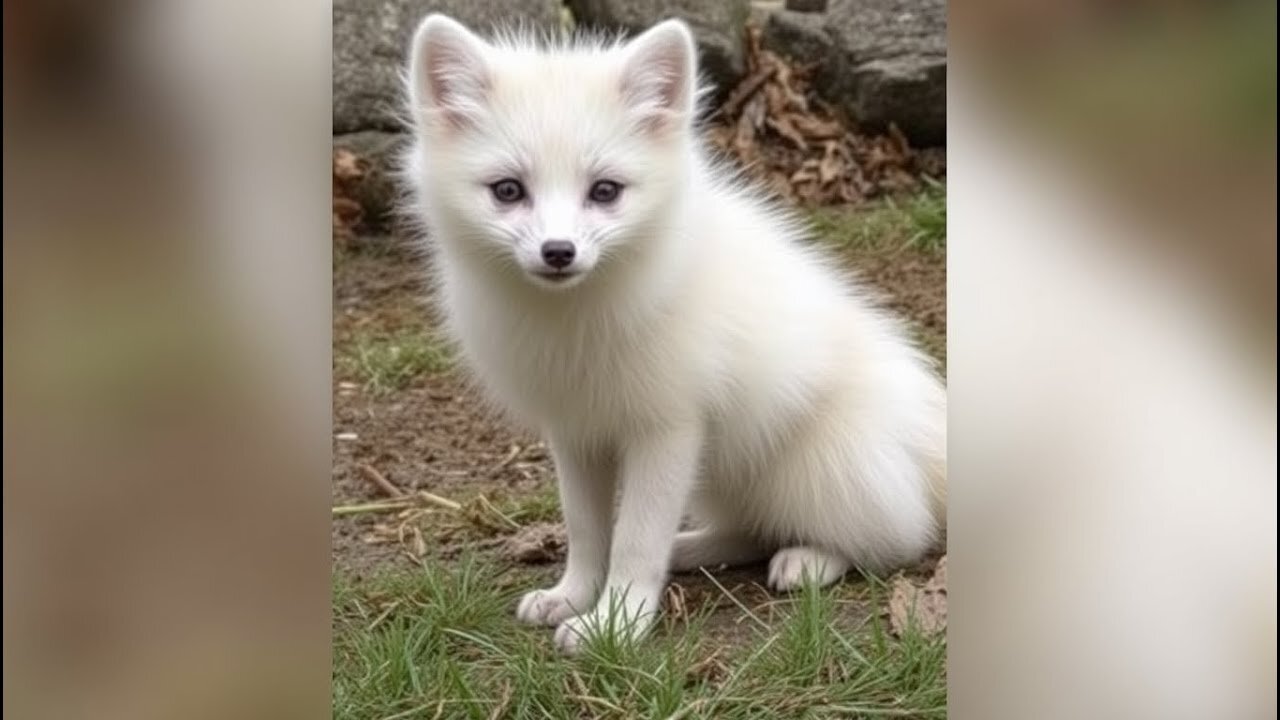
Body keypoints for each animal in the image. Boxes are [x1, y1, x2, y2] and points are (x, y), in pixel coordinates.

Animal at [404, 12, 947, 650]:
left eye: (605, 191)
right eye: (507, 190)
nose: (558, 252)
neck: (575, 320)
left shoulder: (668, 428)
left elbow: (636, 539)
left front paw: (613, 627)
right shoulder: (576, 432)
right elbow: (588, 531)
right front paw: (572, 597)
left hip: (817, 469)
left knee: (890, 540)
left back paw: (808, 559)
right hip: (720, 474)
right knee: (751, 531)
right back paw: (690, 551)